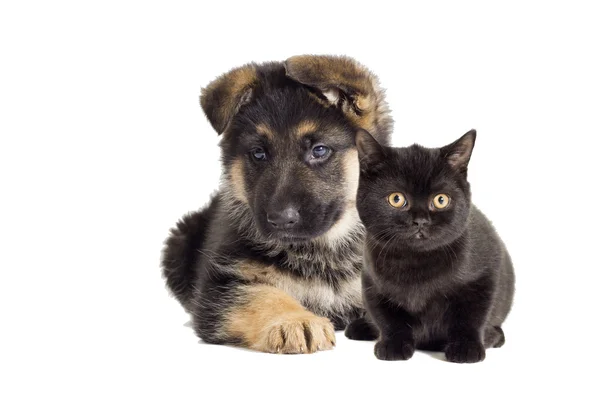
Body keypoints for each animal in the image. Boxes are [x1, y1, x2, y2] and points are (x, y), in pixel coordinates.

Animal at [162, 56, 392, 354]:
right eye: (259, 153)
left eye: (319, 150)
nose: (281, 219)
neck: (321, 251)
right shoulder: (221, 286)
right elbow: (261, 295)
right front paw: (294, 321)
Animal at [346, 130, 516, 362]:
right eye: (396, 199)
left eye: (441, 200)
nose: (420, 221)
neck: (415, 261)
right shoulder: (372, 282)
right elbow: (388, 319)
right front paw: (393, 345)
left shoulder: (485, 275)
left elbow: (471, 317)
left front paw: (466, 348)